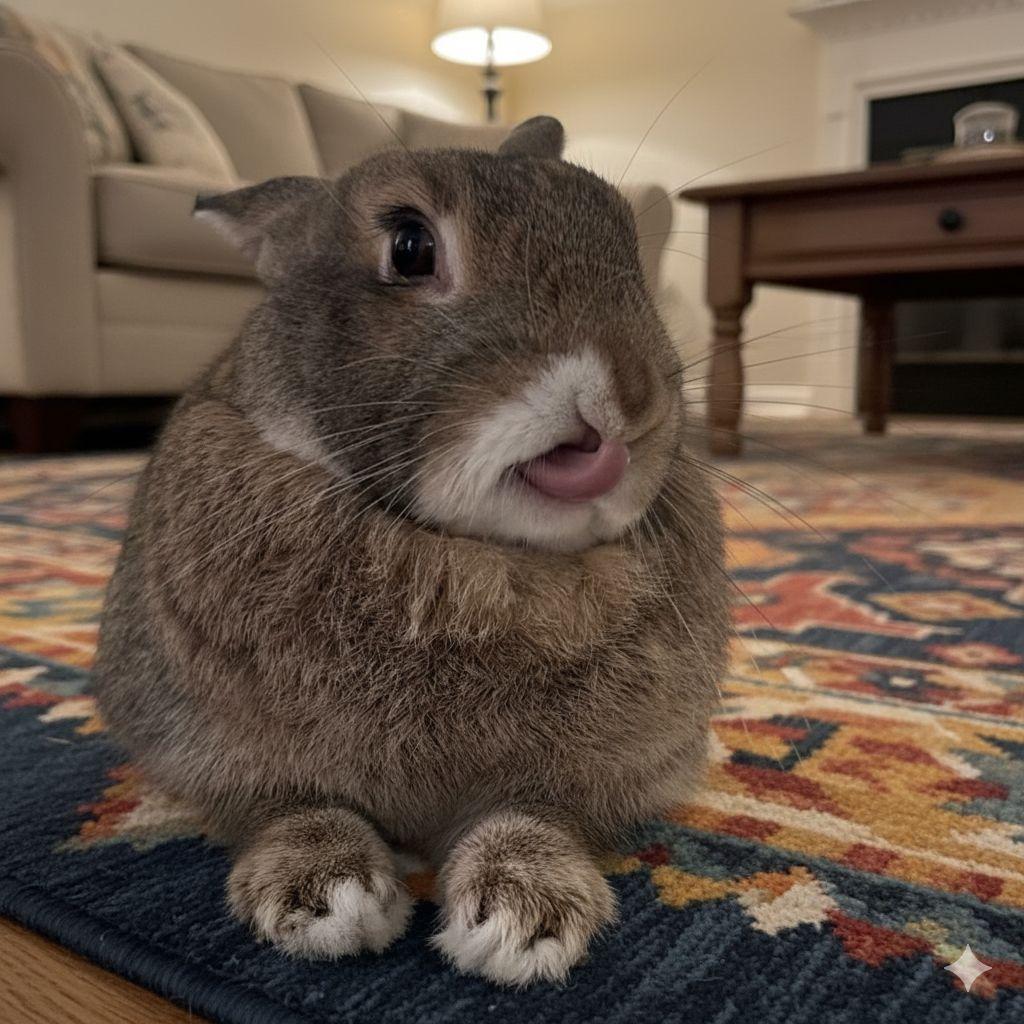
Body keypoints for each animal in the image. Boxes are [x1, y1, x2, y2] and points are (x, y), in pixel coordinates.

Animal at [92, 115, 731, 987]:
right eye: (410, 247)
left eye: (622, 234)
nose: (631, 401)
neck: (467, 556)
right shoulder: (223, 750)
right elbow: (294, 805)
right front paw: (325, 898)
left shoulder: (581, 777)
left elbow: (535, 814)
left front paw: (524, 919)